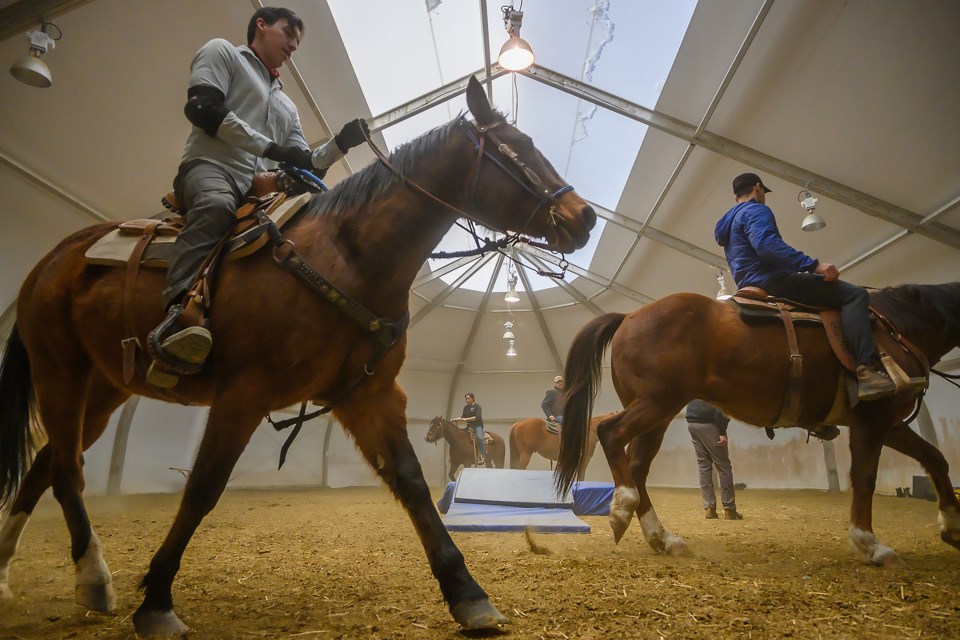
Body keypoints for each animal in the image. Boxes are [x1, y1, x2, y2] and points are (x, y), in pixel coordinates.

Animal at [0, 76, 600, 636]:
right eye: (515, 149)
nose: (584, 216)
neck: (348, 256)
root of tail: (53, 258)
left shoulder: (367, 395)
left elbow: (411, 484)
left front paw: (468, 595)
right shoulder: (244, 393)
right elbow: (203, 488)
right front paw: (156, 602)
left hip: (103, 390)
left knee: (46, 464)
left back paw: (11, 572)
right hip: (59, 372)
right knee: (67, 472)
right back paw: (93, 577)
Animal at [556, 282, 960, 568]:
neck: (900, 324)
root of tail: (629, 316)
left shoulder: (890, 424)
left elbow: (935, 459)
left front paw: (952, 525)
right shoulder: (872, 420)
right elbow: (865, 478)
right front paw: (871, 544)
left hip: (658, 414)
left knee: (637, 465)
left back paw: (663, 538)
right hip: (657, 404)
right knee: (610, 435)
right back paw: (623, 506)